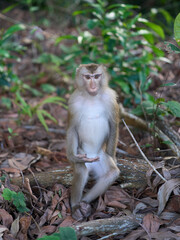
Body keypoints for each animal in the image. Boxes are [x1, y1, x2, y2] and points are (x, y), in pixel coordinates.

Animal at [66, 63, 119, 219]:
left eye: (96, 76)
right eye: (88, 77)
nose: (93, 85)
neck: (91, 97)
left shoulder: (110, 98)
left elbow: (113, 124)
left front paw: (113, 156)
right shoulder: (73, 101)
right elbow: (72, 128)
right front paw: (71, 157)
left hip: (100, 157)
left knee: (111, 174)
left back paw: (85, 201)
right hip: (82, 154)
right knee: (81, 171)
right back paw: (76, 206)